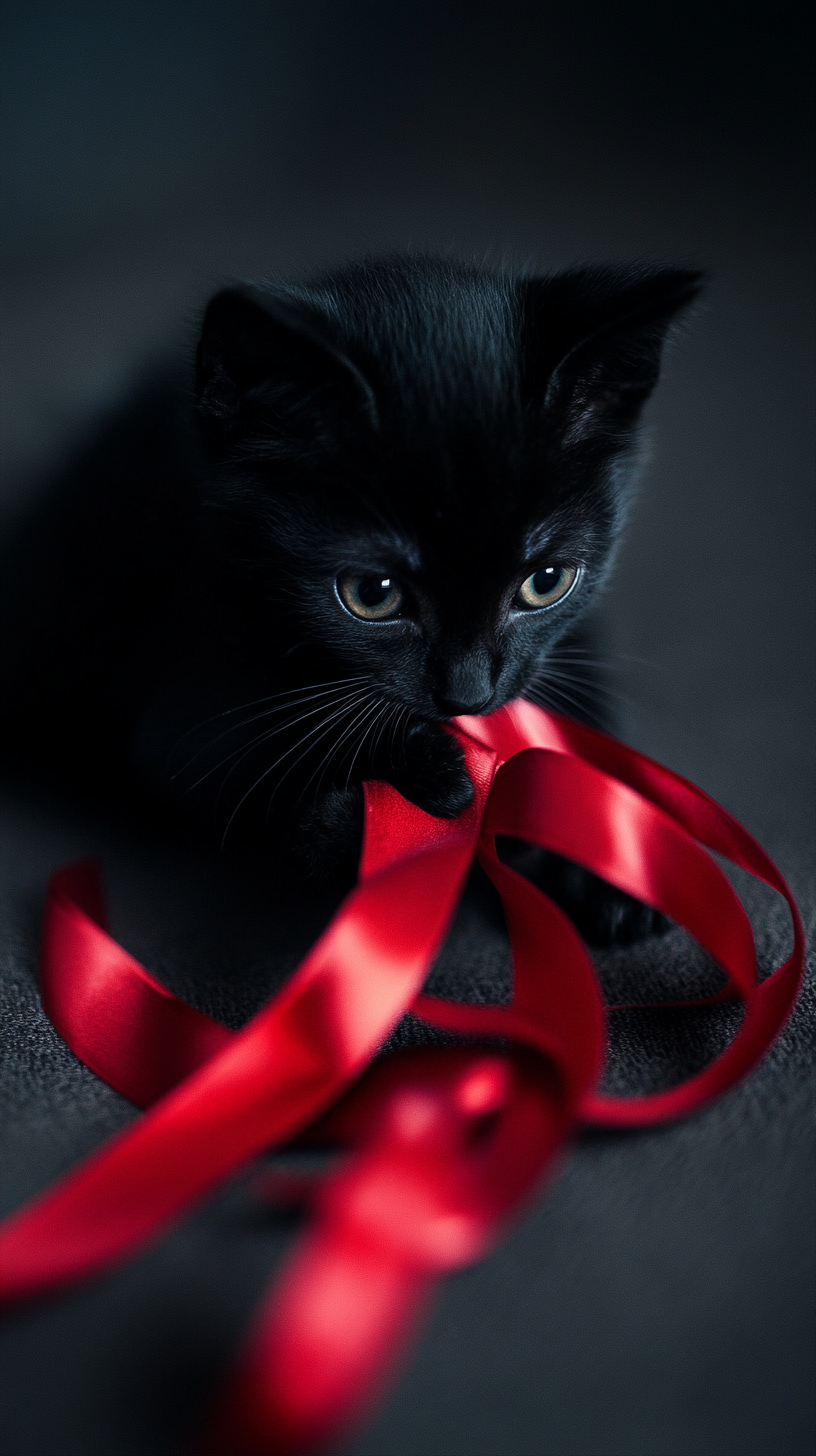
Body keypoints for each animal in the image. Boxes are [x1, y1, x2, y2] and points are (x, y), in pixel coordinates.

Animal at [0, 256, 702, 943]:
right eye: (373, 595)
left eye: (547, 580)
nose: (468, 694)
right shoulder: (181, 684)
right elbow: (261, 759)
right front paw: (419, 779)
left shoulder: (575, 639)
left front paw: (609, 867)